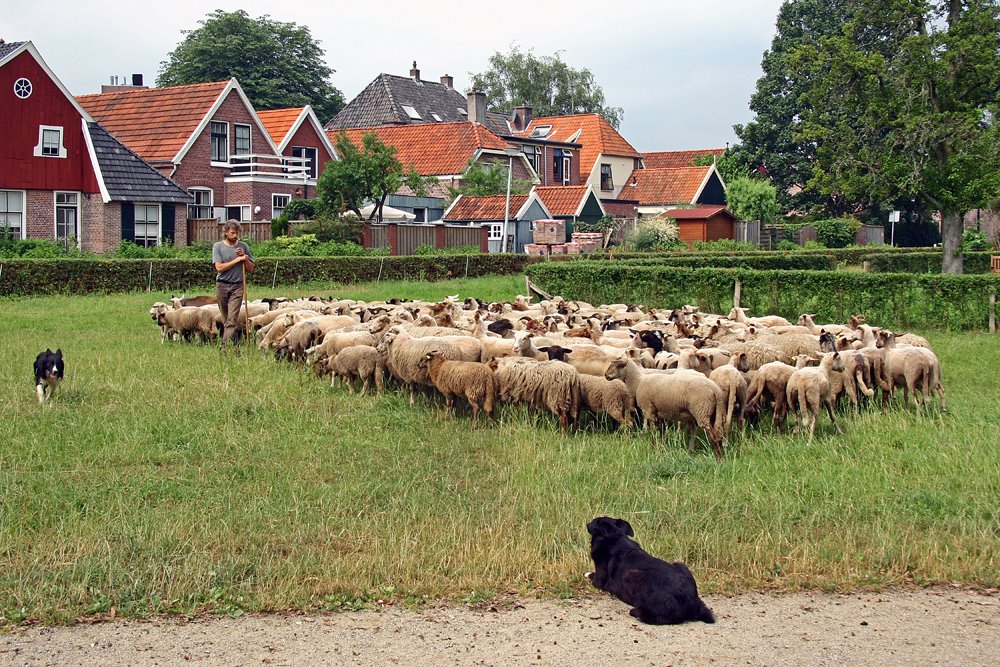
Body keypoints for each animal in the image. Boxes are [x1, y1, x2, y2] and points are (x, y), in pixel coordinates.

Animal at [584, 516, 716, 628]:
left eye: (594, 522)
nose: (587, 523)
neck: (617, 538)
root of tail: (693, 602)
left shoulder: (600, 579)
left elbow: (591, 575)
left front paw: (586, 573)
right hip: (681, 564)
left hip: (634, 576)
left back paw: (636, 612)